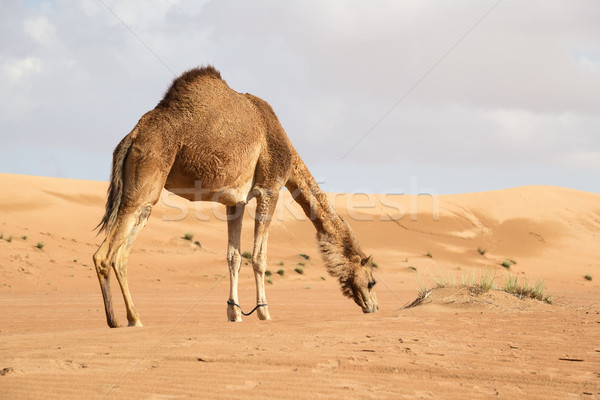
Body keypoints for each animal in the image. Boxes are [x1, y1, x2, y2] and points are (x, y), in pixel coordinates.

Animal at [92, 66, 378, 328]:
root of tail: (131, 137)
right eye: (372, 281)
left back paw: (131, 318)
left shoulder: (235, 203)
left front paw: (235, 313)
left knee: (121, 253)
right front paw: (263, 312)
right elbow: (259, 257)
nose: (374, 307)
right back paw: (119, 320)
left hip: (144, 194)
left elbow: (234, 257)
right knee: (105, 254)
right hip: (147, 175)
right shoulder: (270, 187)